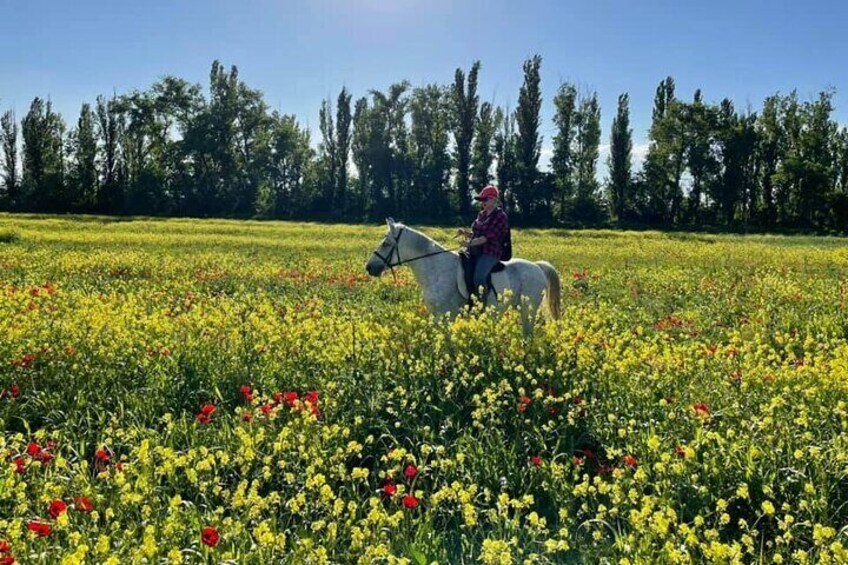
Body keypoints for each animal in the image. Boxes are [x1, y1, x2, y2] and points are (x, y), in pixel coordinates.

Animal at [362, 216, 556, 330]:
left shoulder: (445, 315)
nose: (369, 267)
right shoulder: (436, 316)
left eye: (386, 243)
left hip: (528, 308)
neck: (436, 269)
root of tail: (537, 267)